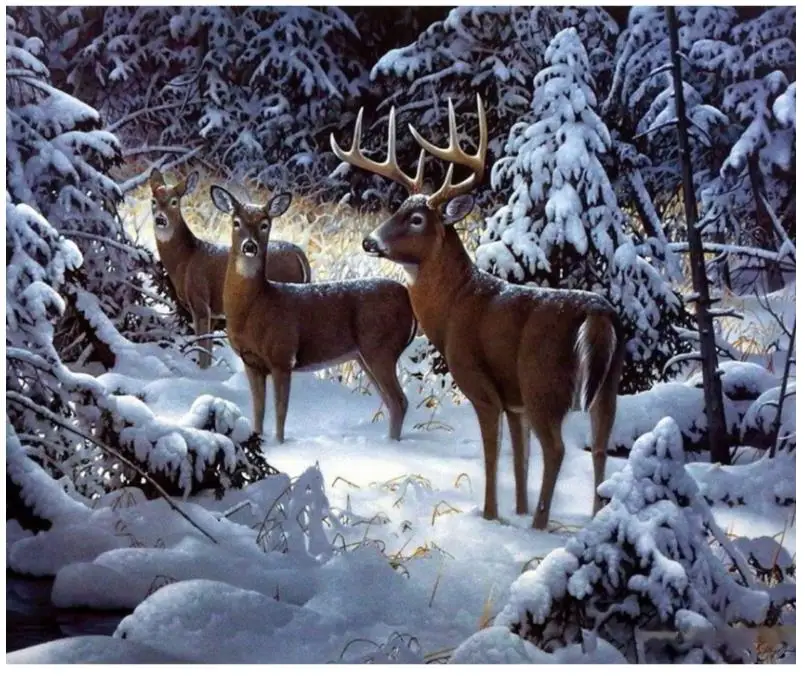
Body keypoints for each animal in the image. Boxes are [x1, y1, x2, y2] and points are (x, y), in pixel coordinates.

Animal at [149, 169, 311, 368]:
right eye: (153, 201)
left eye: (174, 202)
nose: (160, 219)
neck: (186, 259)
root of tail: (300, 255)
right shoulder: (215, 315)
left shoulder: (200, 302)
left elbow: (203, 352)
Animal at [210, 185, 417, 444]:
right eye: (236, 222)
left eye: (265, 224)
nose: (249, 246)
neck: (256, 307)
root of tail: (409, 301)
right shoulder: (251, 361)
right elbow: (258, 411)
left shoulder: (283, 356)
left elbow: (281, 412)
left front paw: (280, 444)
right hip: (364, 355)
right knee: (392, 402)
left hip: (382, 348)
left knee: (399, 401)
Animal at [331, 95, 625, 529]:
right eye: (397, 208)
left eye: (416, 219)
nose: (370, 241)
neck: (456, 306)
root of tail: (598, 314)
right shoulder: (514, 400)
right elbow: (519, 458)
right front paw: (516, 509)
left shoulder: (482, 384)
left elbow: (493, 454)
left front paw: (491, 516)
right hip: (606, 387)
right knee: (601, 447)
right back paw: (593, 519)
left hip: (544, 382)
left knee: (557, 449)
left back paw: (540, 527)